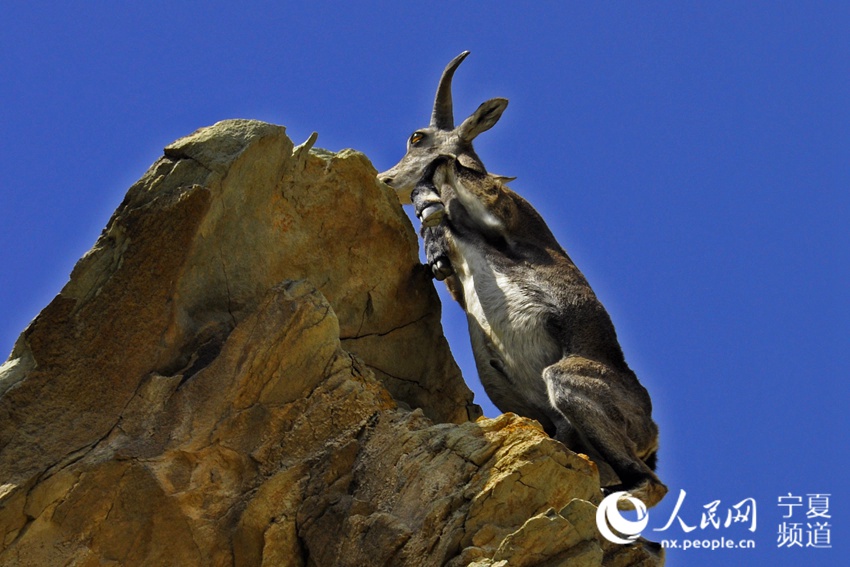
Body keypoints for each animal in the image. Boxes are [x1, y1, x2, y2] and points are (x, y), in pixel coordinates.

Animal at [378, 51, 664, 508]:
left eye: (417, 138)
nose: (385, 178)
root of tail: (651, 435)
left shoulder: (504, 211)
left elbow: (447, 169)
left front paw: (430, 205)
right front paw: (434, 244)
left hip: (569, 381)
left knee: (652, 484)